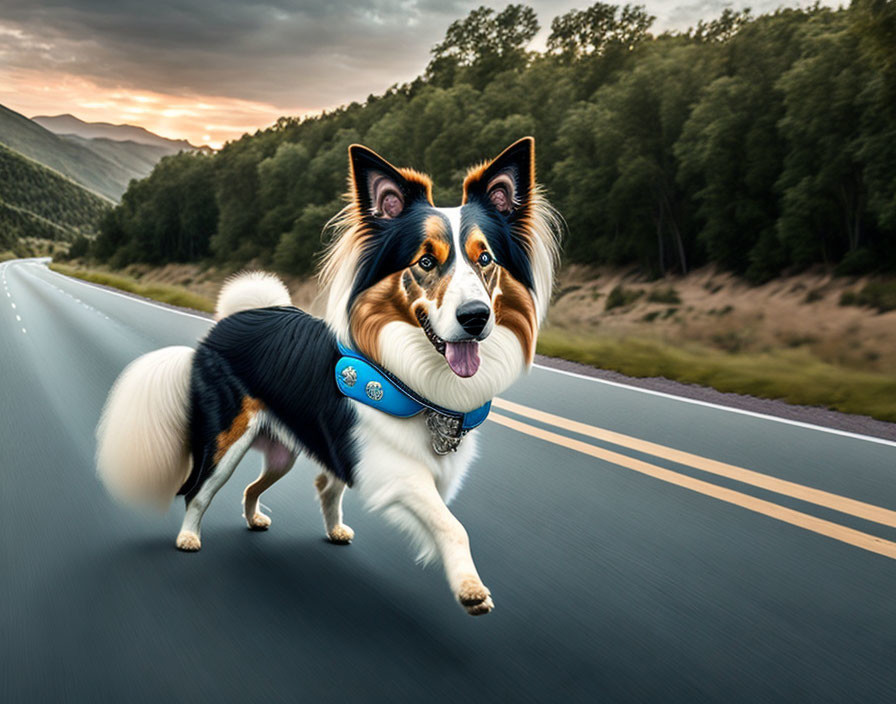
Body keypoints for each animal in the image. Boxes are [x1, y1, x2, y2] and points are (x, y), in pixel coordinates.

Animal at [98, 135, 560, 612]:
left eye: (485, 258)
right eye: (426, 263)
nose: (475, 317)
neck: (413, 377)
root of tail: (225, 323)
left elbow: (337, 486)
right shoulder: (394, 468)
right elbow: (450, 524)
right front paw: (470, 588)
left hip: (284, 451)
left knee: (259, 487)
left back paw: (273, 522)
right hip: (227, 439)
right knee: (199, 490)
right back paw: (188, 538)